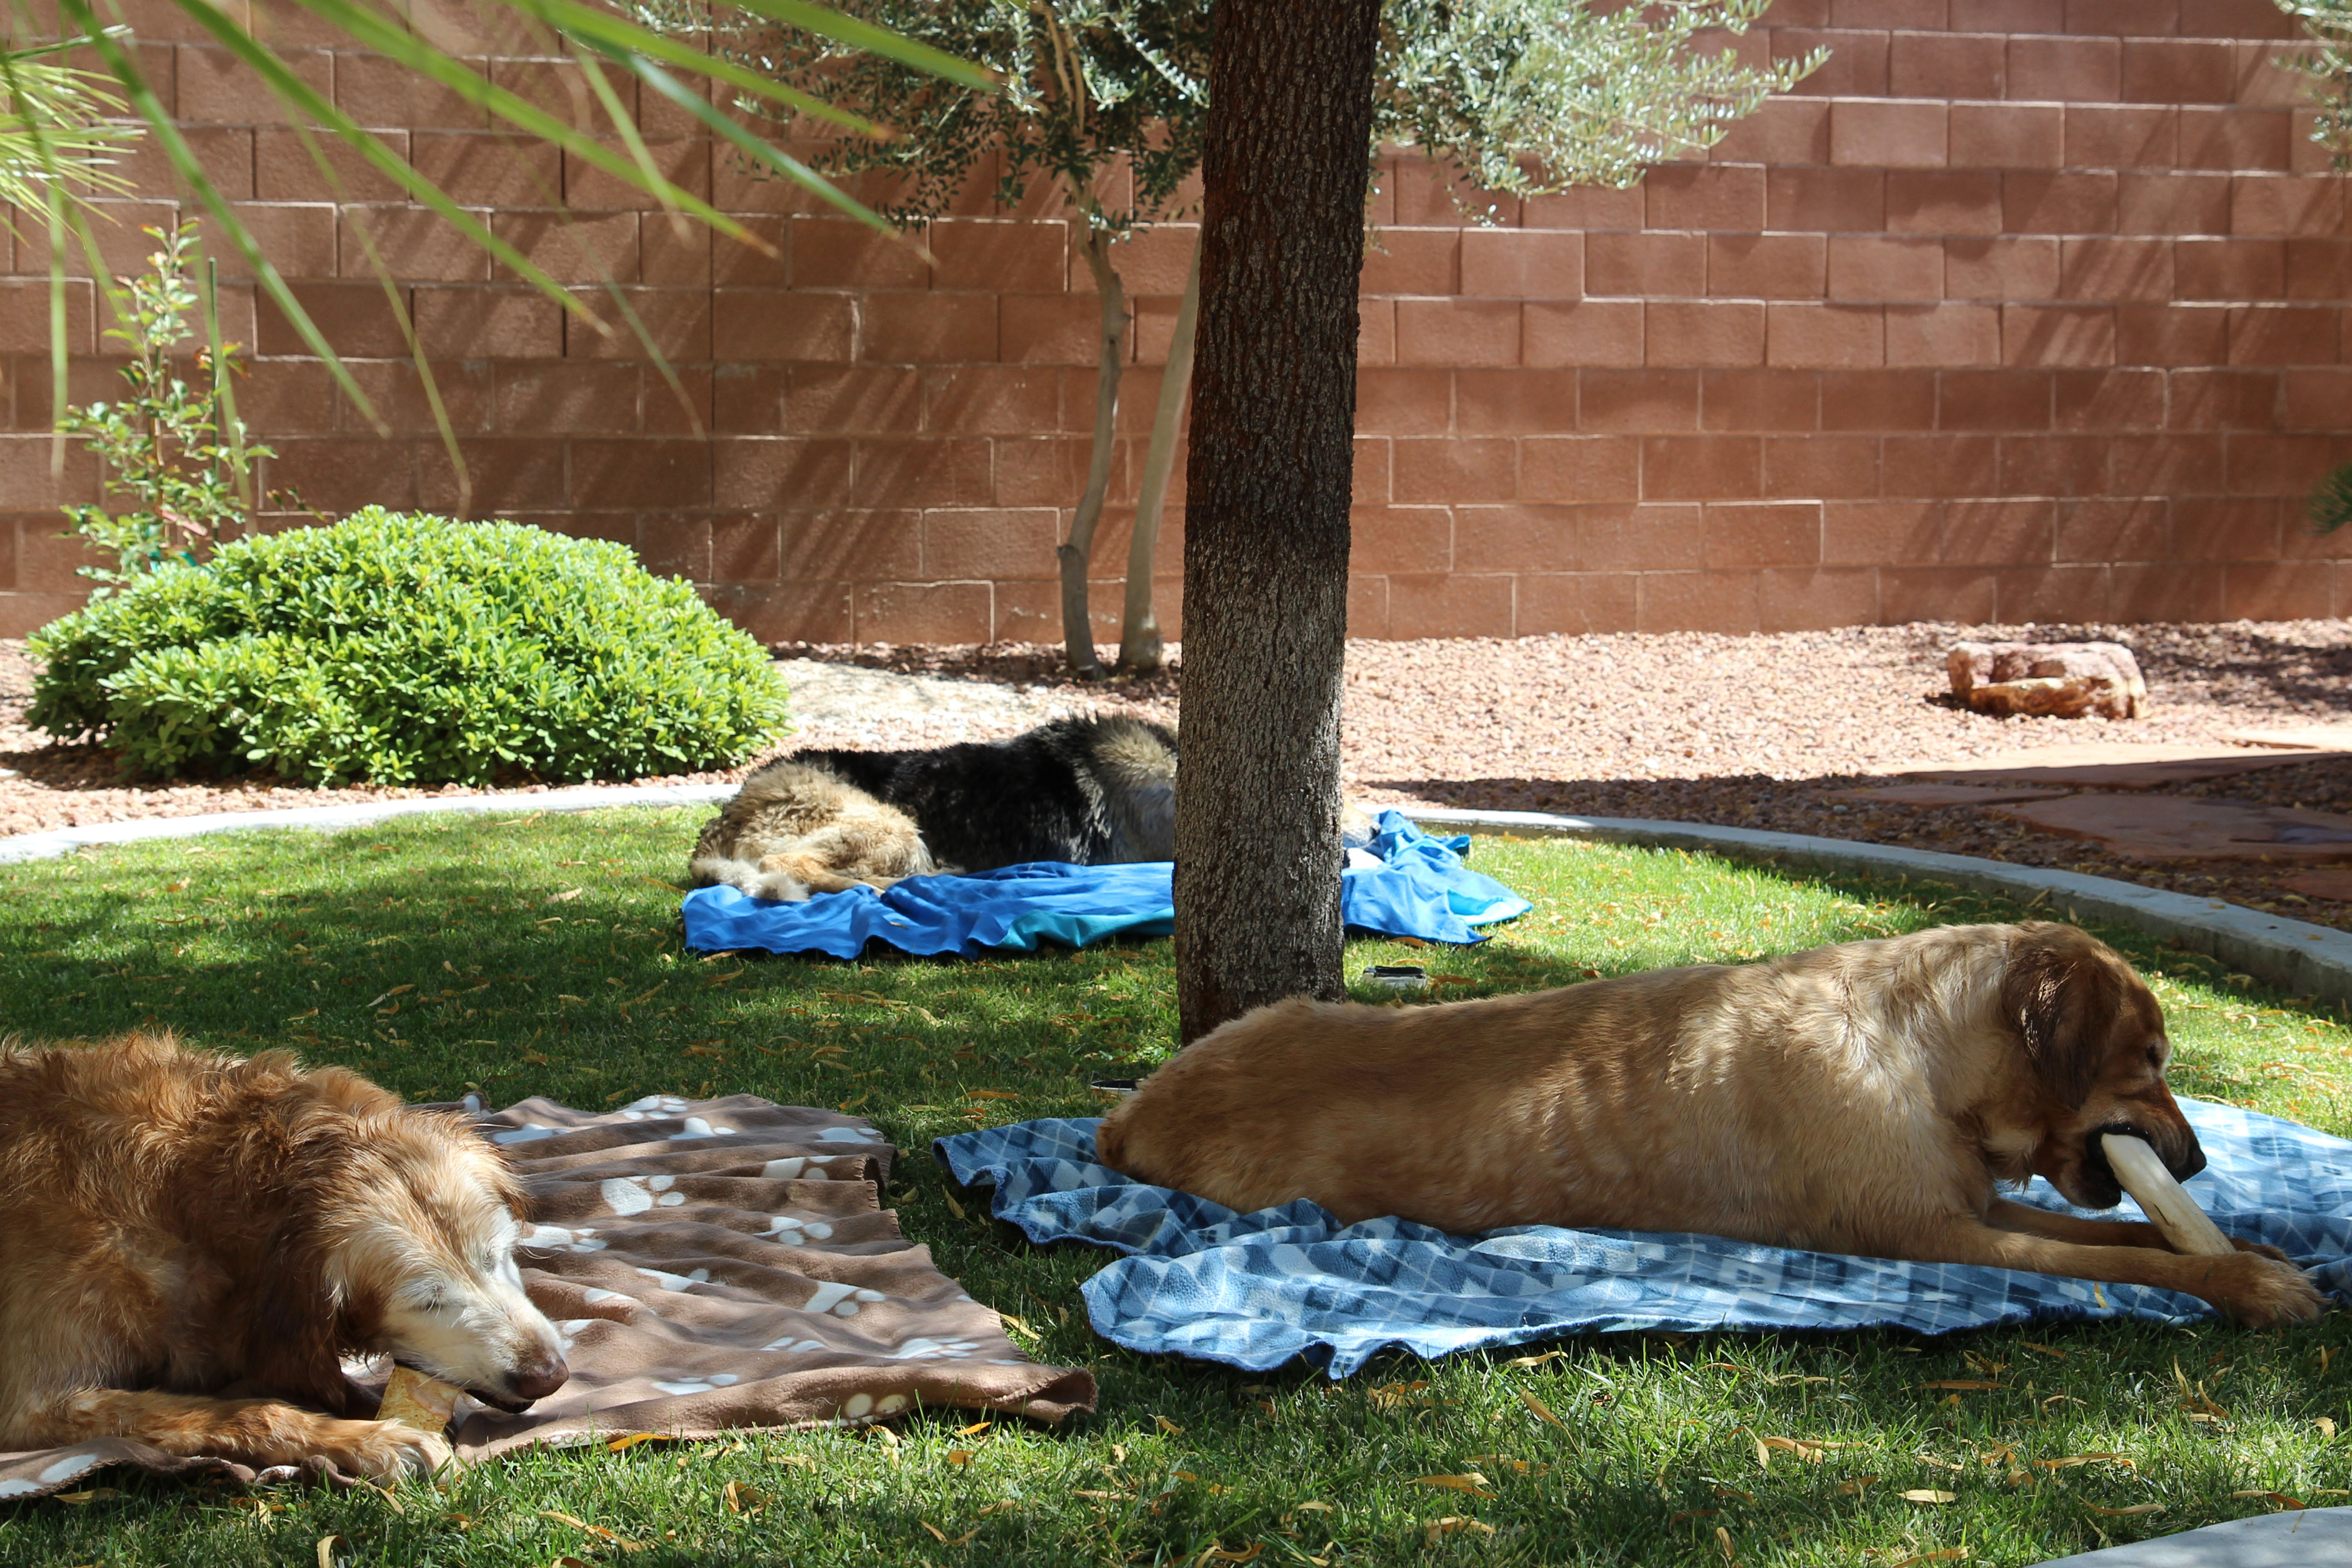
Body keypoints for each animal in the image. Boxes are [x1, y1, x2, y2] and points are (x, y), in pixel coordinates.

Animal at [0, 1034, 569, 1476]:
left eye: (496, 1257)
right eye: (426, 1301)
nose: (551, 1376)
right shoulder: (32, 1406)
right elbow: (249, 1411)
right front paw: (372, 1441)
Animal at [1091, 926, 2323, 1335]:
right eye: (2151, 1060)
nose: (2199, 1160)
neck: (1926, 1058)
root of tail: (1128, 1110)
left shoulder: (1967, 1203)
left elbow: (2131, 1238)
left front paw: (2250, 1246)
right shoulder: (1933, 1232)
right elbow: (2132, 1260)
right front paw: (2250, 1282)